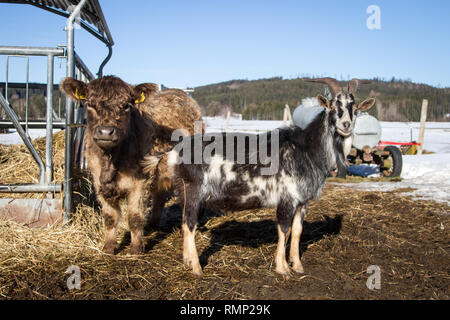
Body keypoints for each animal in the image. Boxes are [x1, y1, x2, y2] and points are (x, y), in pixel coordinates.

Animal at [163, 91, 374, 276]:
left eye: (355, 109)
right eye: (333, 107)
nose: (346, 124)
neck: (307, 150)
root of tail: (175, 152)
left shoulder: (302, 201)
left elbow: (297, 231)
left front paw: (297, 266)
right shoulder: (287, 198)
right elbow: (284, 230)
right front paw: (283, 269)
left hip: (185, 192)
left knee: (184, 222)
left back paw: (187, 261)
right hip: (195, 189)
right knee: (190, 224)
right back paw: (197, 268)